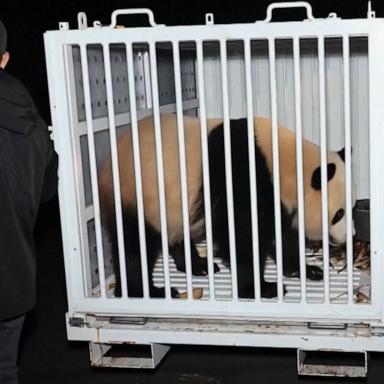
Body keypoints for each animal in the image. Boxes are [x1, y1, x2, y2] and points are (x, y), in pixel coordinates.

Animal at [98, 114, 348, 300]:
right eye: (339, 214)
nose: (349, 235)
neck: (283, 164)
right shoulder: (242, 178)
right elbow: (241, 238)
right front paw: (261, 289)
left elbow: (282, 237)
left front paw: (307, 269)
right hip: (137, 193)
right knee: (134, 244)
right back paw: (146, 291)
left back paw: (199, 265)